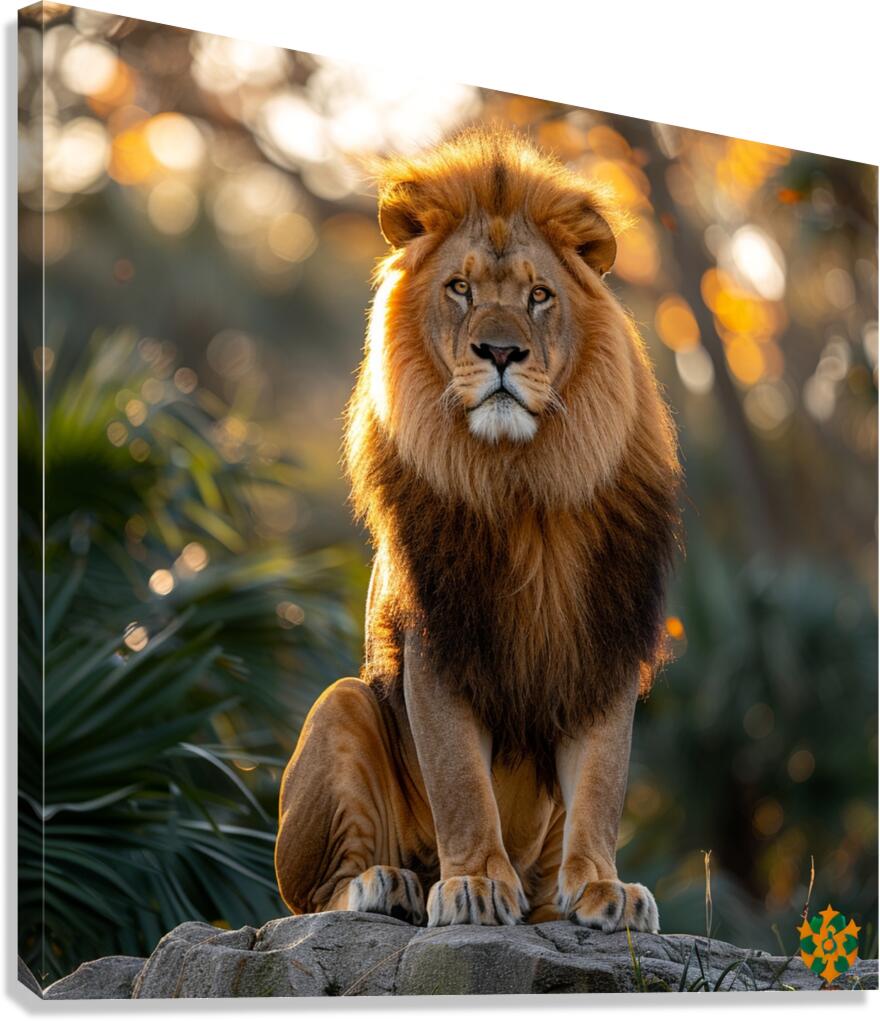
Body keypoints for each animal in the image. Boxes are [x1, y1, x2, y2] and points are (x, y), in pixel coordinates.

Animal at [275, 128, 680, 932]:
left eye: (538, 295)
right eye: (459, 288)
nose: (499, 352)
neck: (522, 482)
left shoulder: (603, 640)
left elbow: (600, 780)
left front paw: (604, 889)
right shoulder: (437, 637)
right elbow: (461, 779)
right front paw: (472, 884)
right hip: (342, 704)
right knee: (312, 898)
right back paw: (389, 884)